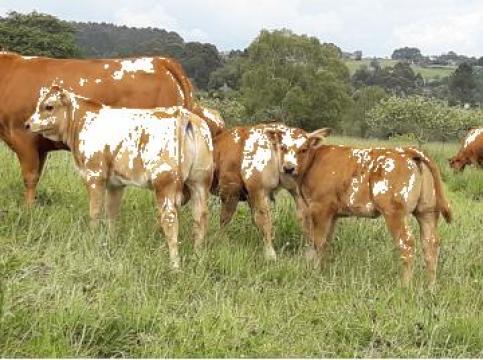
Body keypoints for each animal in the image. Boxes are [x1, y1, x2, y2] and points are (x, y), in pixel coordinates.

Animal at [0, 50, 223, 205]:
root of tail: (160, 61)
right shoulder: (40, 145)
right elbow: (36, 176)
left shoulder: (23, 136)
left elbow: (29, 178)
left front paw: (28, 212)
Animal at [24, 86, 214, 268]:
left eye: (49, 106)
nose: (27, 125)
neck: (82, 122)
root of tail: (183, 114)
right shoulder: (115, 183)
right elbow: (112, 212)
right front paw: (111, 242)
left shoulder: (95, 175)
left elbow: (95, 211)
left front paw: (92, 238)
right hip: (200, 182)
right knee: (201, 217)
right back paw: (198, 257)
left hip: (165, 183)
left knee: (170, 219)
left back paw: (174, 265)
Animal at [268, 128, 454, 286]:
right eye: (283, 147)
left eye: (303, 149)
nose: (288, 168)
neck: (314, 161)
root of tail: (408, 151)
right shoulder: (333, 213)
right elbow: (327, 242)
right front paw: (323, 270)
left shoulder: (320, 207)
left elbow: (318, 242)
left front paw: (315, 272)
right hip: (427, 212)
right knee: (430, 244)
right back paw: (430, 286)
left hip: (395, 213)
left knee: (407, 243)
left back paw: (405, 286)